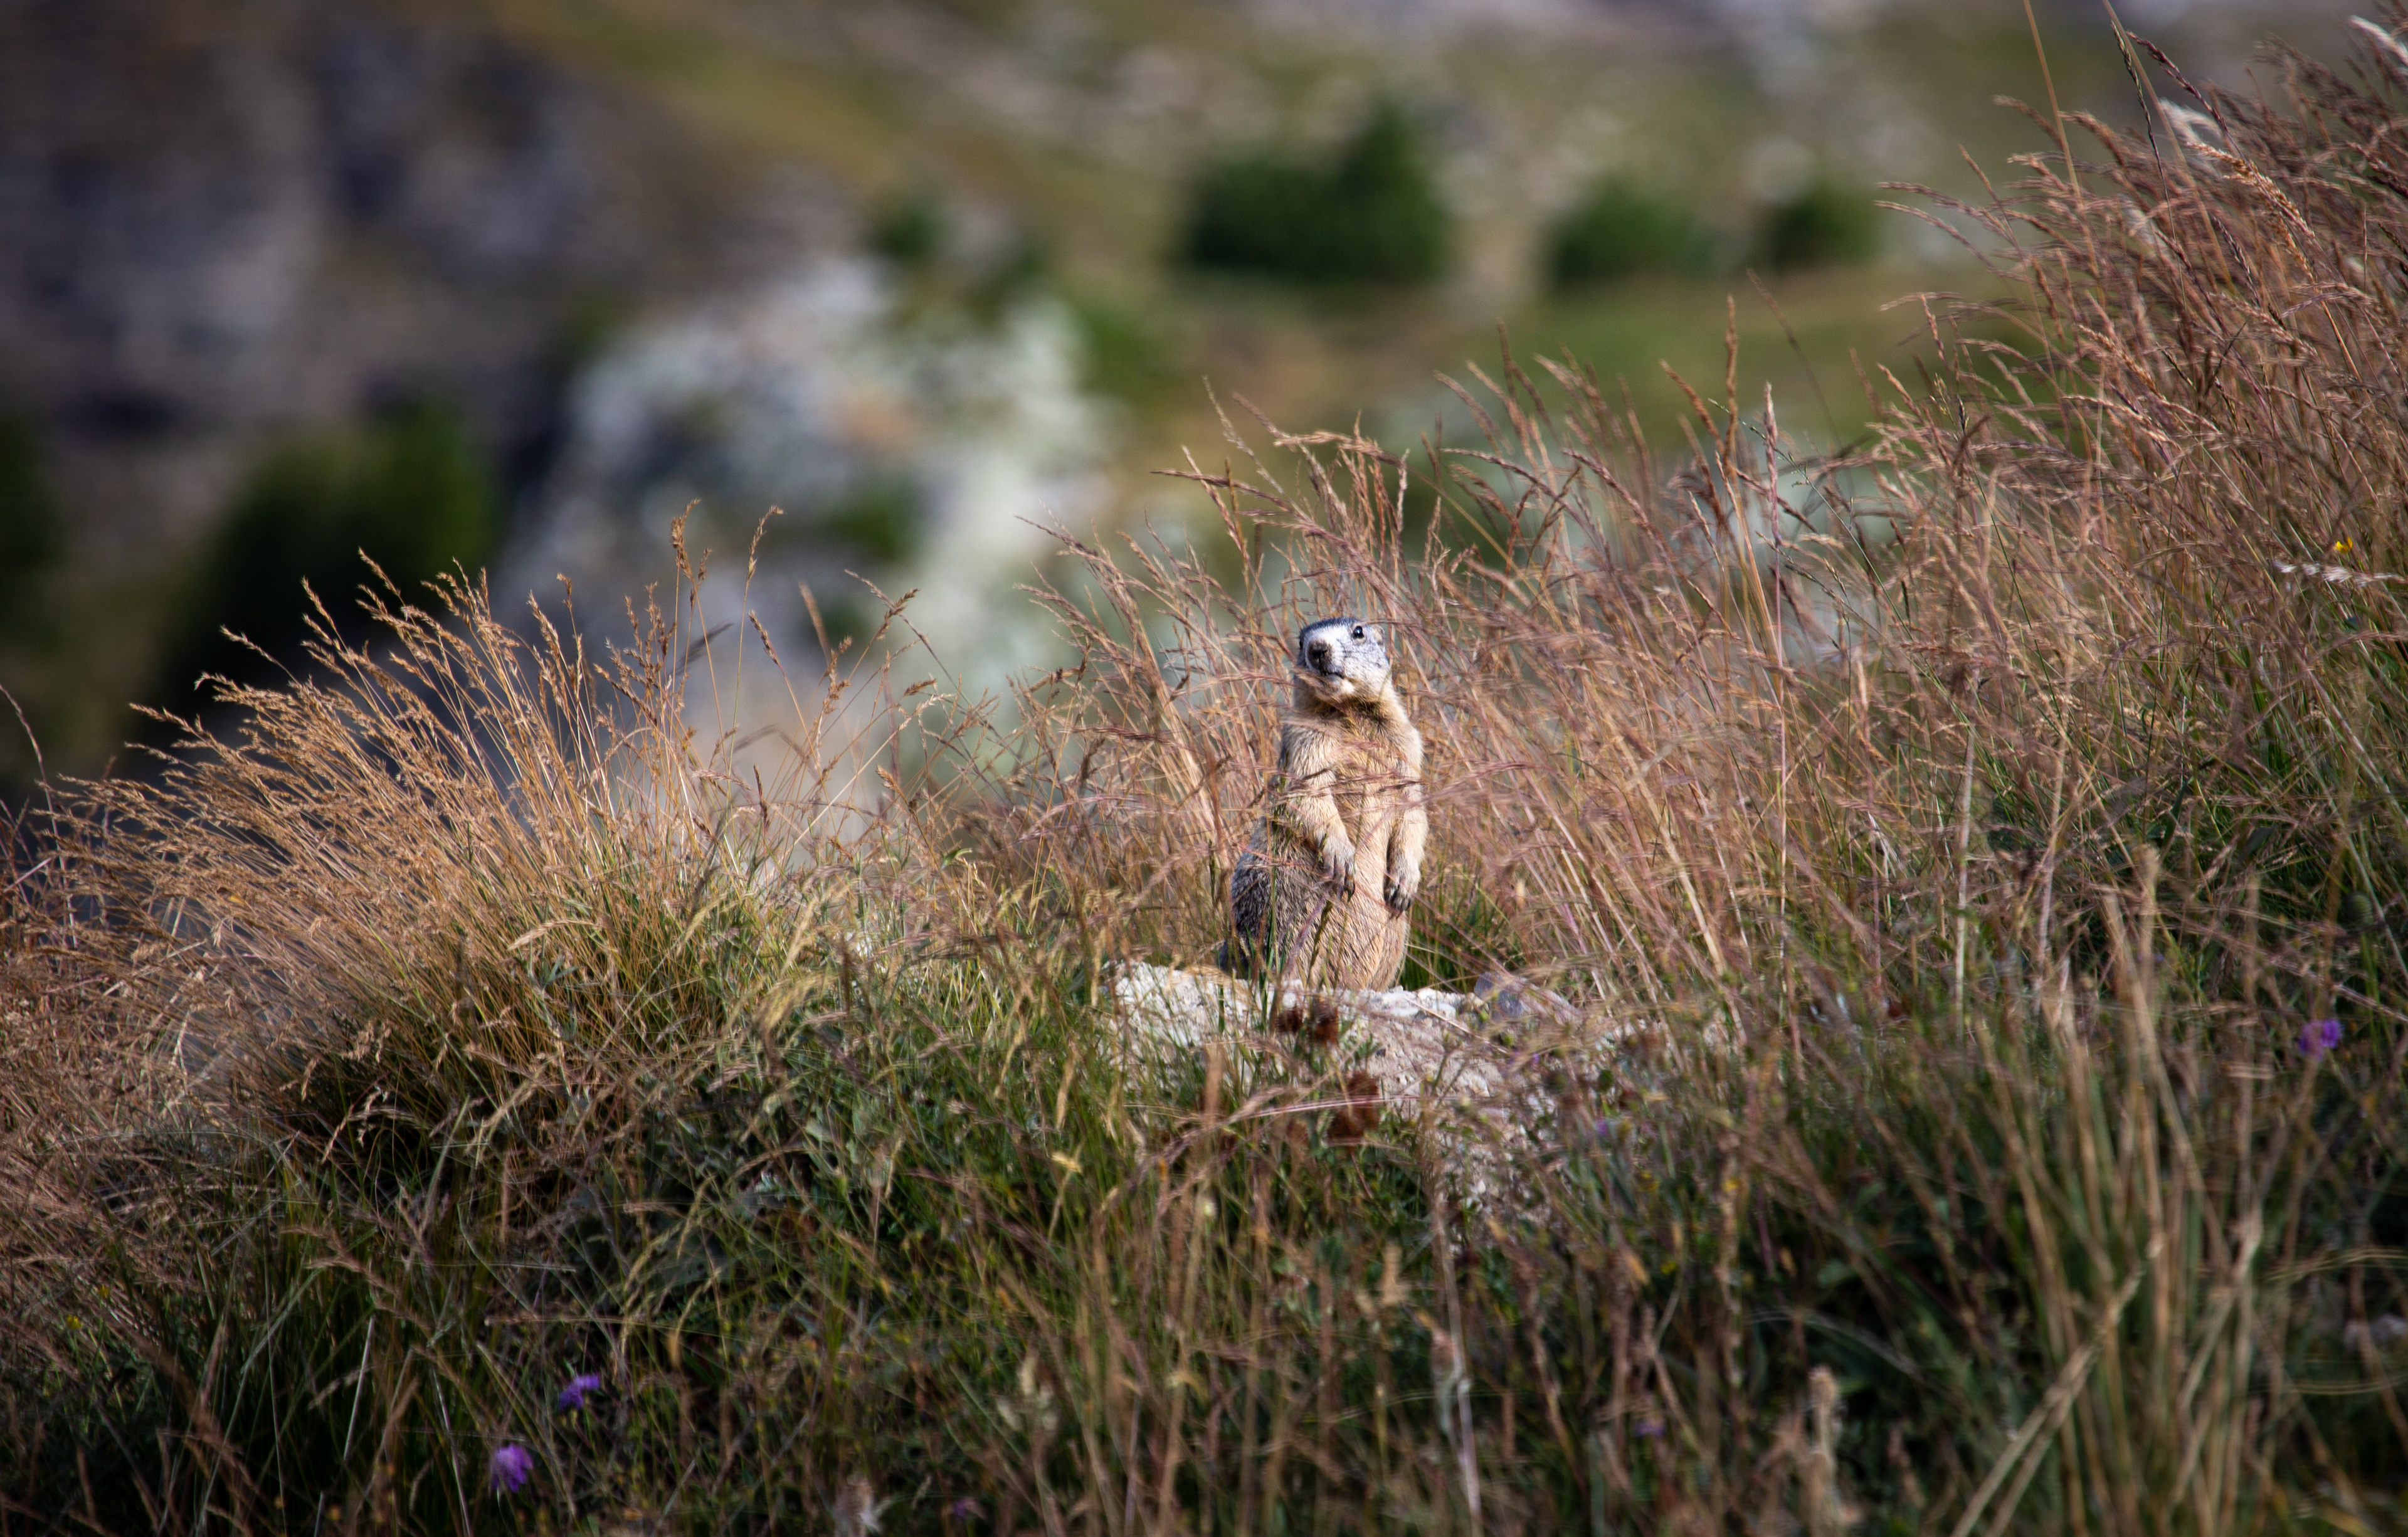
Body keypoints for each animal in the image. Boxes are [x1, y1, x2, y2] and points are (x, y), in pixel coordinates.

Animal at [1228, 617, 1427, 990]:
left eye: (1359, 632)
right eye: (1301, 640)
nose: (1317, 648)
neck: (1349, 710)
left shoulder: (1407, 743)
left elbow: (1412, 805)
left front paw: (1403, 884)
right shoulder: (1305, 737)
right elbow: (1309, 791)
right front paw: (1343, 858)